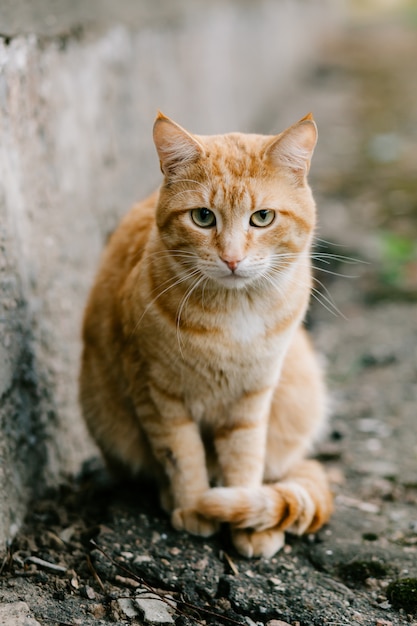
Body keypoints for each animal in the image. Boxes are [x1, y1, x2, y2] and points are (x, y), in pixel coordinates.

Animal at [79, 112, 332, 556]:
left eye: (262, 217)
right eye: (202, 217)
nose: (232, 258)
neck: (234, 314)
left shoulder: (253, 397)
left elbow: (246, 456)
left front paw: (246, 516)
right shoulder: (157, 393)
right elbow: (182, 454)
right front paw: (194, 505)